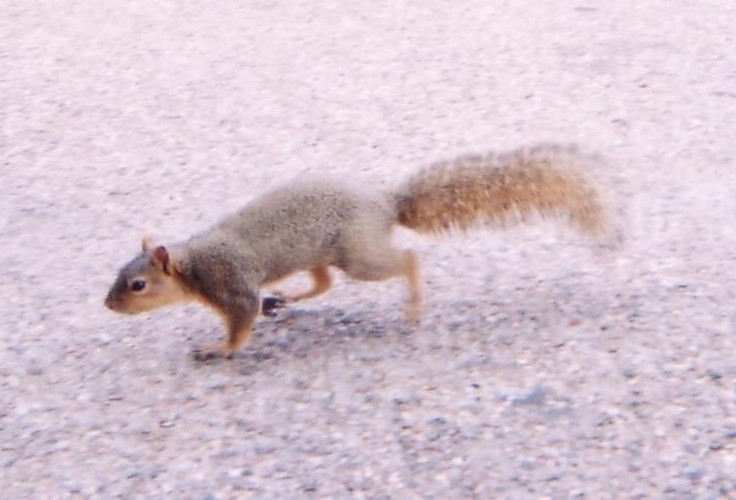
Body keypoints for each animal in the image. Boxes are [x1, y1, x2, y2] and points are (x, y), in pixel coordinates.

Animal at [105, 143, 610, 360]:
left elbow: (241, 323)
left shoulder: (230, 284)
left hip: (360, 255)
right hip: (324, 254)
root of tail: (384, 204)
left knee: (407, 260)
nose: (108, 304)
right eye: (119, 275)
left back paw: (413, 305)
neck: (193, 263)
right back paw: (286, 299)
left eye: (138, 284)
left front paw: (218, 348)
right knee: (323, 284)